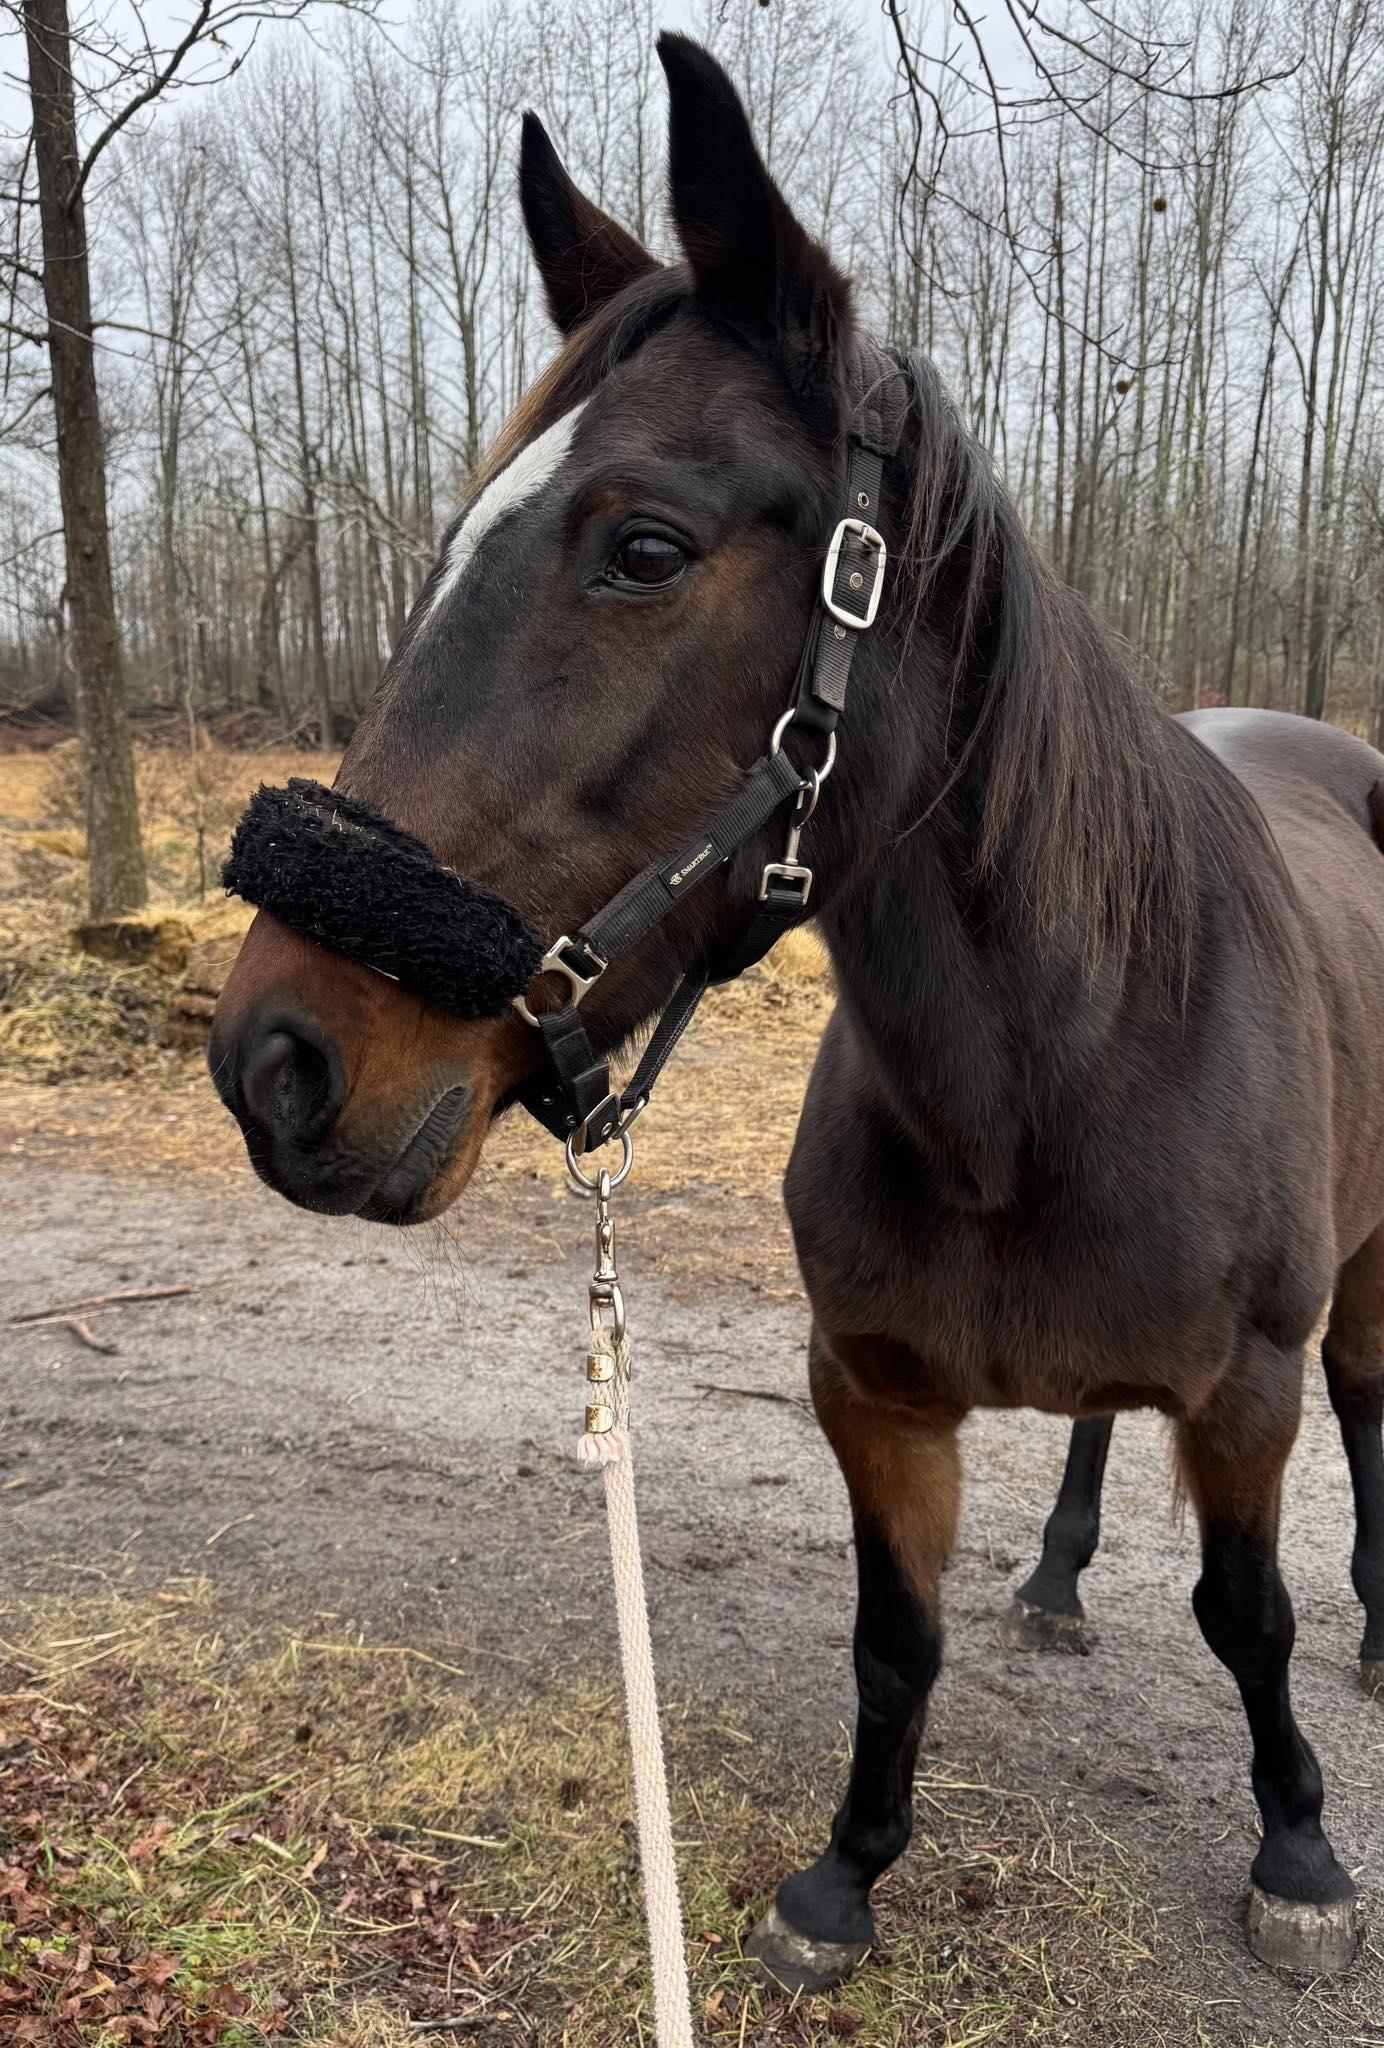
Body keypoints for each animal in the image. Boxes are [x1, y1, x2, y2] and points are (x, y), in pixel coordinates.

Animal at [209, 34, 1384, 1994]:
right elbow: (893, 1642)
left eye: (643, 546)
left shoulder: (1244, 1390)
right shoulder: (873, 1394)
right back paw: (1058, 1572)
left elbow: (1247, 1612)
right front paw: (843, 1875)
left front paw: (1297, 1850)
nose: (276, 1065)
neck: (1046, 1092)